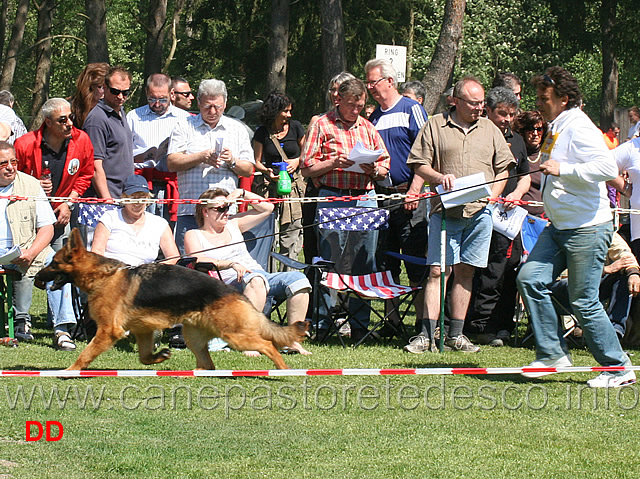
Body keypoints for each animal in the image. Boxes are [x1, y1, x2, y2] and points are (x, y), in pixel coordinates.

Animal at [36, 229, 308, 372]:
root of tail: (235, 293)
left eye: (53, 263)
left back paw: (284, 369)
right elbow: (144, 357)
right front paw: (160, 356)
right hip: (194, 338)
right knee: (209, 365)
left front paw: (69, 372)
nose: (37, 277)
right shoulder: (143, 331)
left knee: (268, 345)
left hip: (235, 336)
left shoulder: (108, 332)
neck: (104, 276)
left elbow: (86, 354)